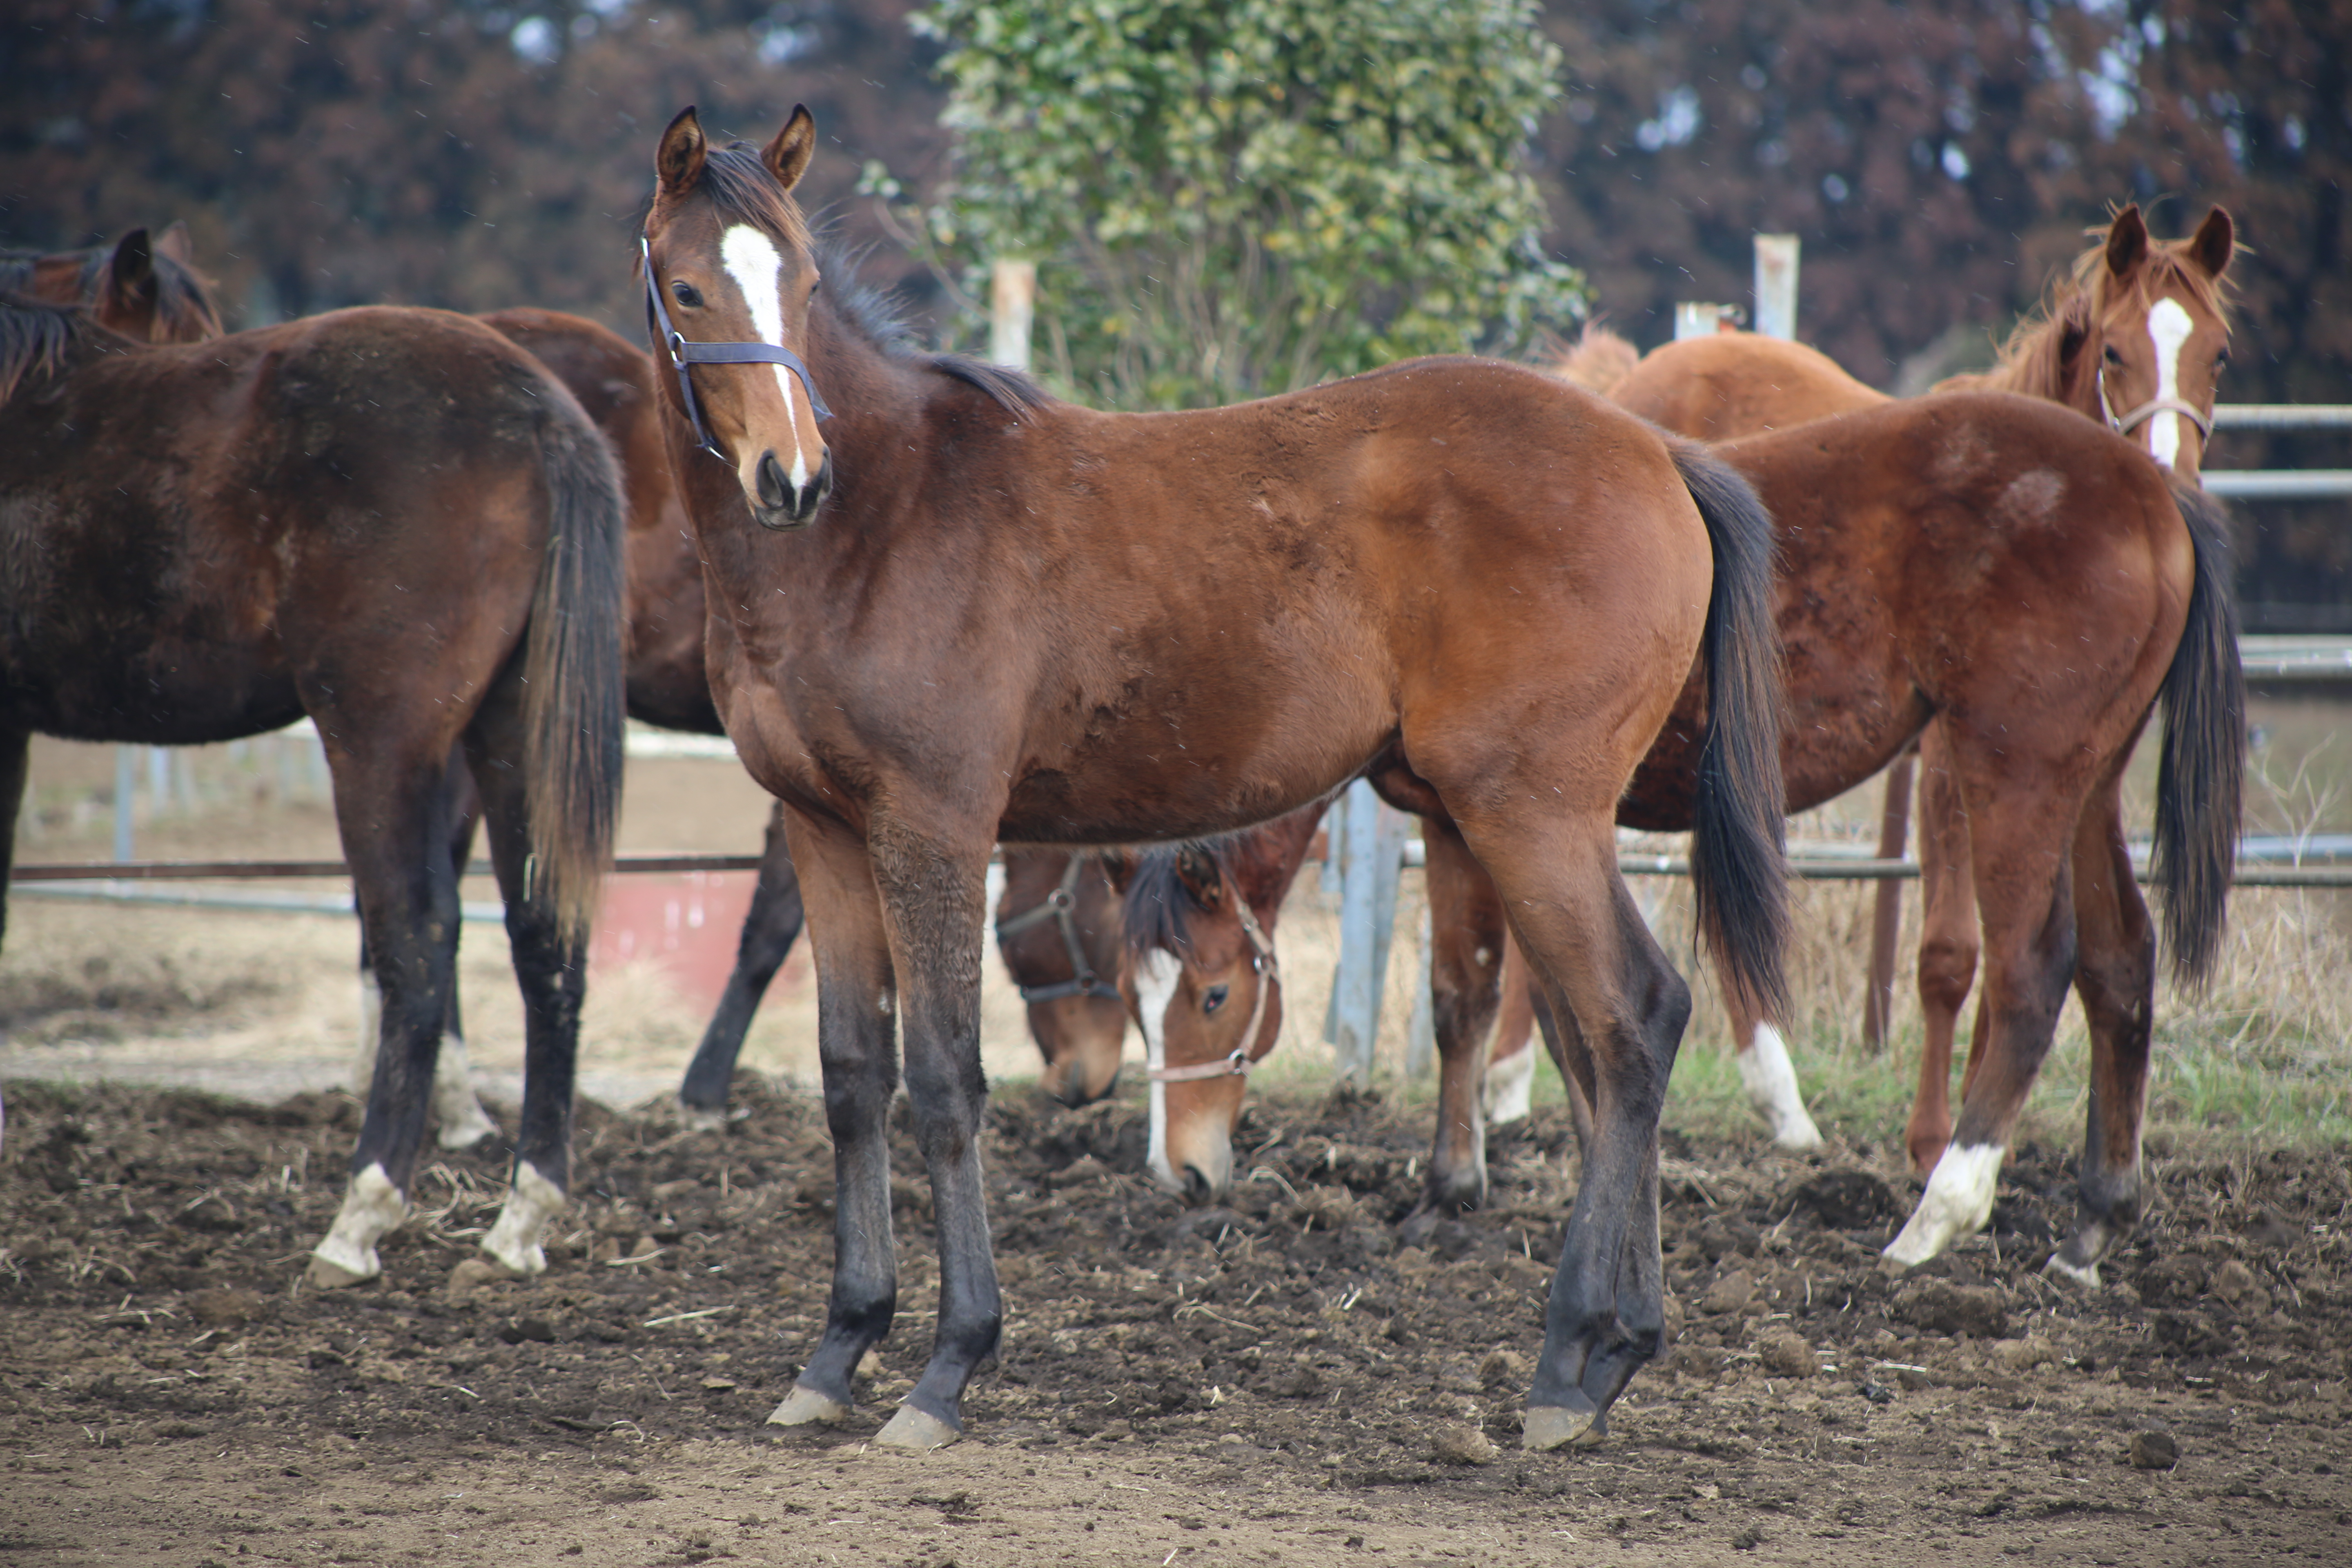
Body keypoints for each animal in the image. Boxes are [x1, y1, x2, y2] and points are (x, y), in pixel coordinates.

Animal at [639, 104, 1778, 1457]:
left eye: (804, 284)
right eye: (688, 286)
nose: (791, 477)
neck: (876, 526)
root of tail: (1658, 451)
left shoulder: (934, 829)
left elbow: (945, 1080)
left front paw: (948, 1368)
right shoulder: (824, 830)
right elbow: (853, 1076)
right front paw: (838, 1347)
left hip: (1532, 816)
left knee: (1630, 1022)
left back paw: (1567, 1365)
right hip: (1531, 826)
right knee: (1612, 1042)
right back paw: (1612, 1354)